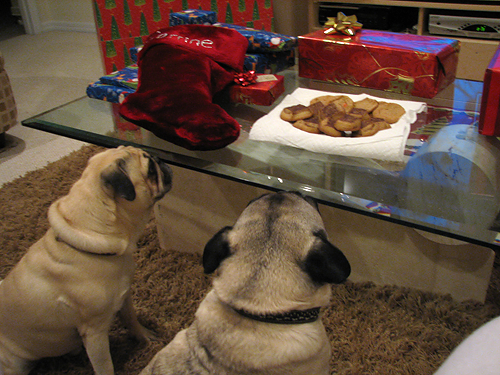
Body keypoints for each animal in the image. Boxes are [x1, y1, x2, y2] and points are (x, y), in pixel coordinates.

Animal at [0, 146, 174, 375]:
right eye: (151, 170)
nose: (160, 159)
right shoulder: (94, 333)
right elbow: (105, 366)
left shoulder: (125, 295)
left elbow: (131, 319)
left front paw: (143, 336)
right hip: (15, 364)